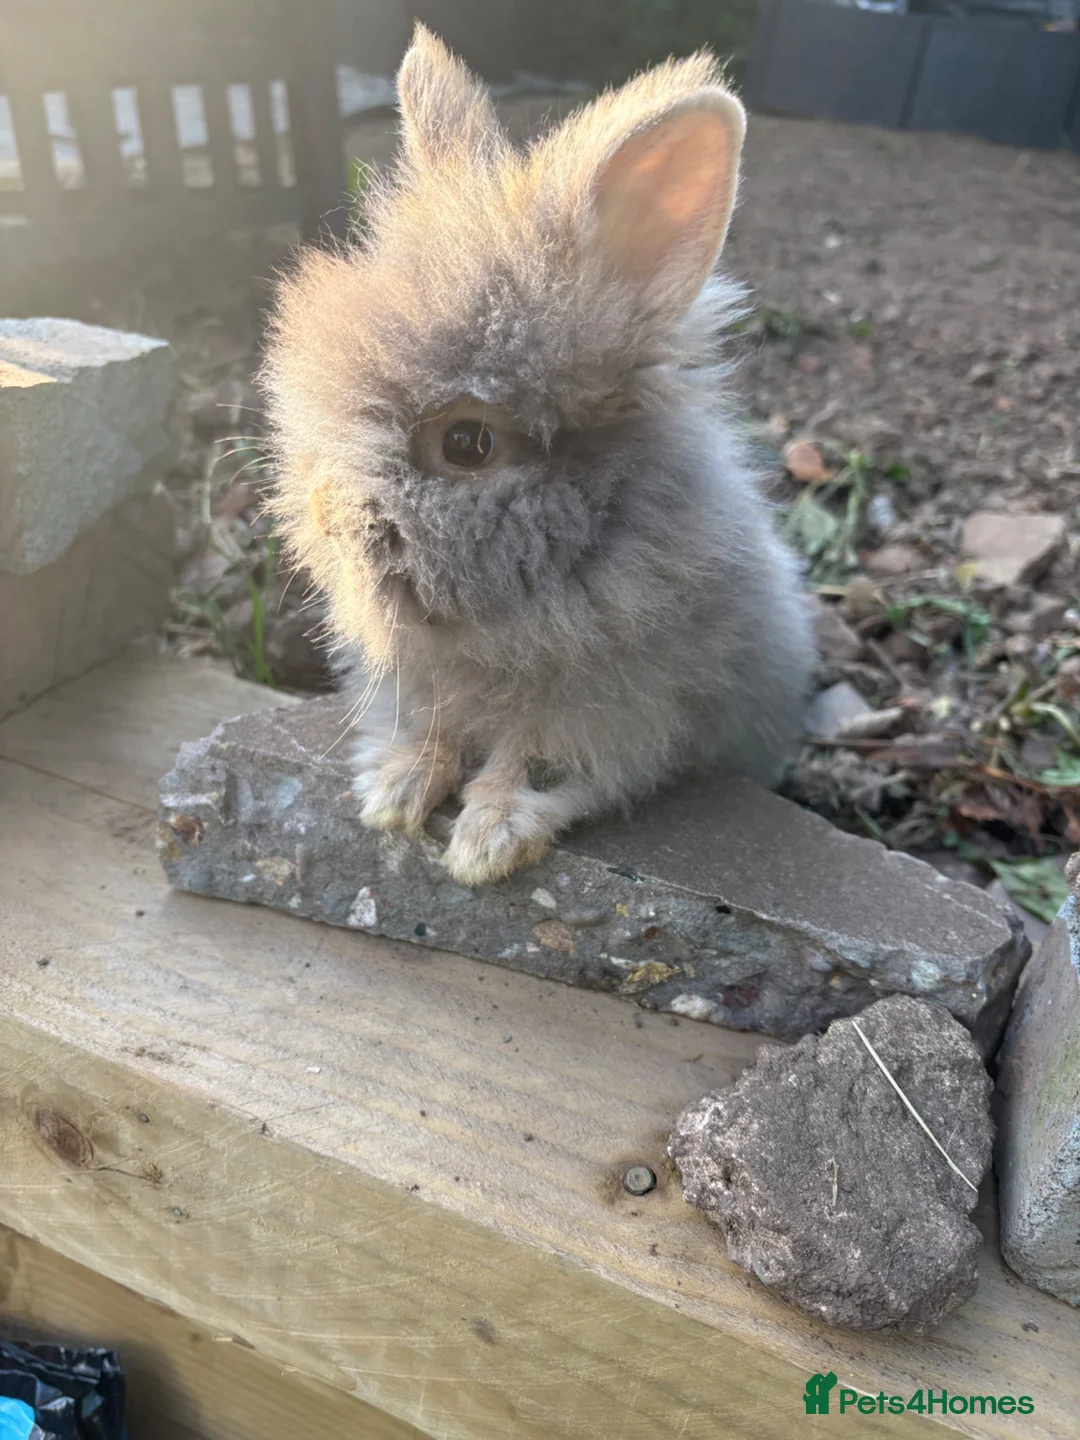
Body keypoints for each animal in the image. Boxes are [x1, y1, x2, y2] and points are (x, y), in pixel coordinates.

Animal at [259, 25, 815, 887]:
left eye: (467, 443)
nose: (326, 516)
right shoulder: (420, 688)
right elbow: (429, 735)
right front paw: (394, 797)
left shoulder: (609, 711)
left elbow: (535, 764)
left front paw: (485, 847)